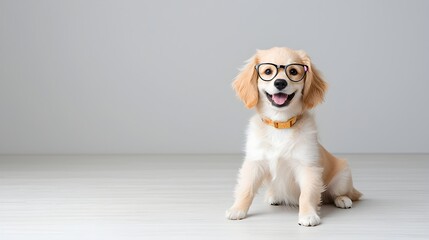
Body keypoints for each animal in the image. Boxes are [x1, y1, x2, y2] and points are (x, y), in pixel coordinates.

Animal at [226, 47, 360, 227]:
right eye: (268, 71)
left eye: (293, 71)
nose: (280, 83)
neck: (281, 124)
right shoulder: (255, 162)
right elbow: (246, 188)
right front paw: (237, 209)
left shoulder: (308, 166)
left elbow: (307, 195)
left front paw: (308, 215)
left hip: (343, 176)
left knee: (337, 194)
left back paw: (343, 200)